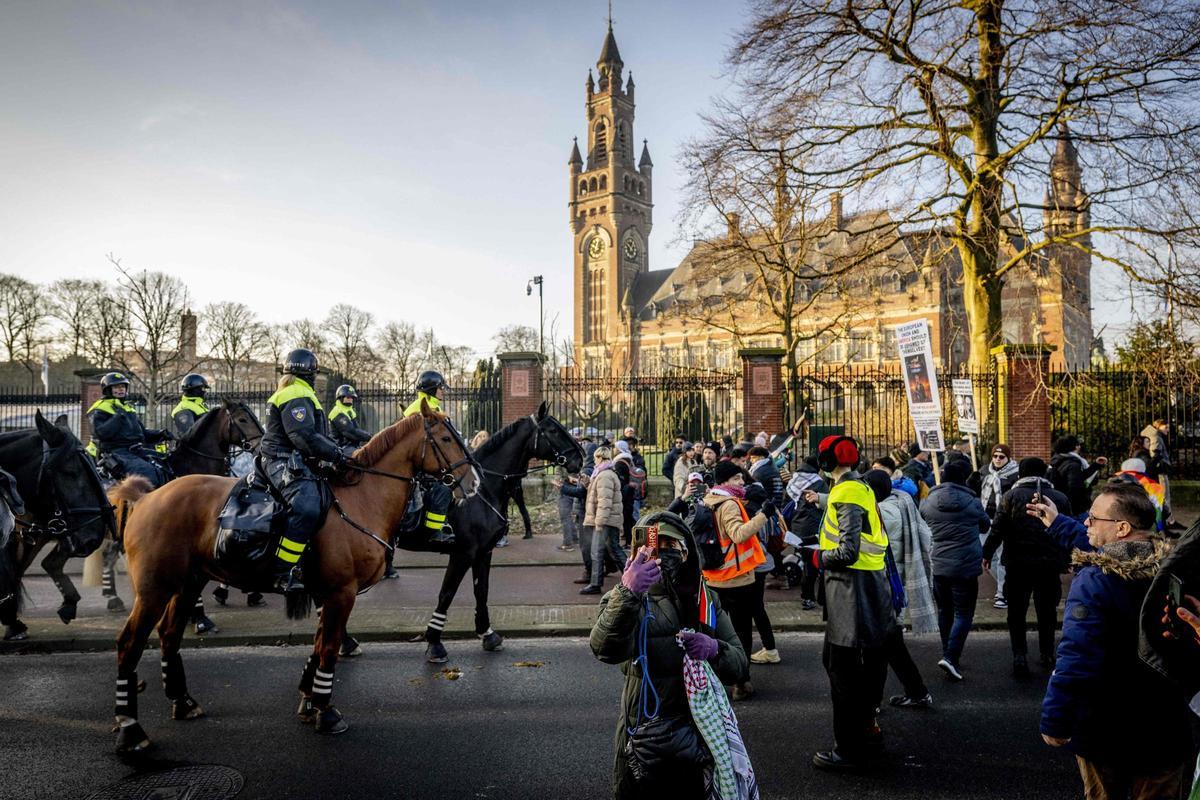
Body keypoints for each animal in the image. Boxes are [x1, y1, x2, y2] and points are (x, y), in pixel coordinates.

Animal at [108, 407, 472, 753]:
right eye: (447, 438)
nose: (474, 483)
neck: (362, 499)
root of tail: (147, 497)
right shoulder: (341, 593)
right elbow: (329, 646)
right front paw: (325, 710)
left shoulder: (328, 593)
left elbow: (320, 643)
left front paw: (309, 699)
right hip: (154, 590)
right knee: (129, 644)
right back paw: (130, 729)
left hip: (187, 583)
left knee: (169, 635)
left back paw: (182, 702)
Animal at [400, 402, 583, 662]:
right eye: (553, 430)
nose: (581, 457)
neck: (482, 490)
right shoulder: (462, 553)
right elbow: (447, 593)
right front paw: (434, 643)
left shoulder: (483, 552)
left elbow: (482, 590)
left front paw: (487, 633)